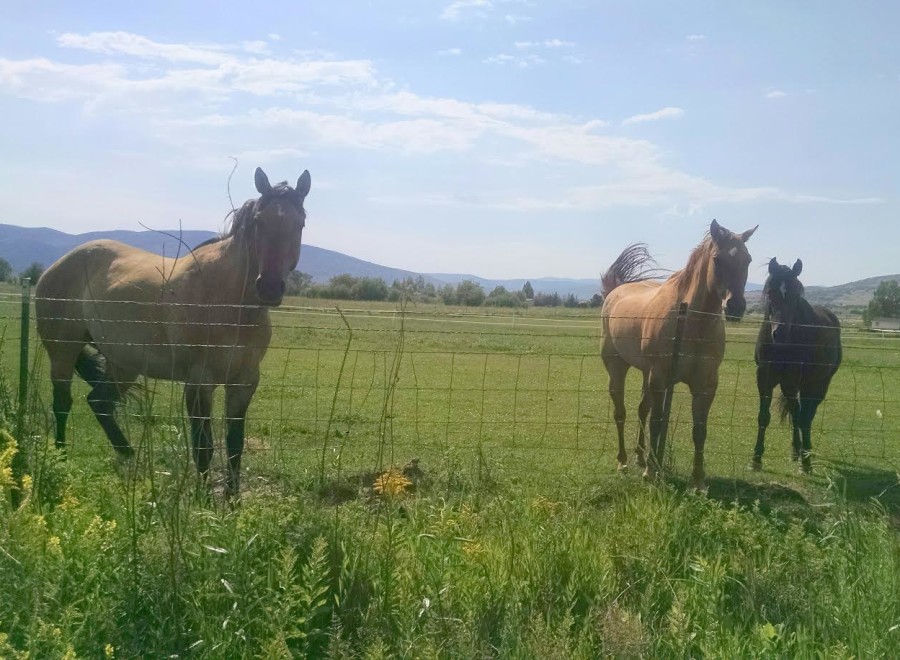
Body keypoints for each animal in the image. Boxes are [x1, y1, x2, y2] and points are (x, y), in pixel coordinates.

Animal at [35, 167, 311, 496]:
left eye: (299, 224)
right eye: (259, 222)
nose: (269, 287)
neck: (230, 304)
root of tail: (56, 266)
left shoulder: (244, 383)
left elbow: (235, 445)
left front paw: (233, 501)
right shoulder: (199, 383)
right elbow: (203, 447)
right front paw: (204, 501)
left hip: (124, 364)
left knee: (100, 403)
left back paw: (130, 458)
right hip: (62, 351)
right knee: (62, 405)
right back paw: (61, 460)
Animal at [600, 220, 757, 488]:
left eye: (747, 259)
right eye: (717, 260)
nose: (735, 307)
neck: (692, 325)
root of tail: (615, 292)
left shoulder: (706, 385)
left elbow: (699, 430)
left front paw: (698, 480)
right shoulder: (660, 378)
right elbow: (657, 422)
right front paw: (651, 472)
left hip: (646, 374)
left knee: (641, 410)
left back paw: (640, 456)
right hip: (618, 367)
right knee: (620, 412)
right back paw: (623, 461)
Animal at [751, 257, 841, 473]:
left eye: (795, 296)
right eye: (770, 293)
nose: (780, 333)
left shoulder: (793, 380)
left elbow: (802, 417)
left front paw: (806, 461)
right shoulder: (765, 378)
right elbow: (764, 416)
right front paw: (756, 458)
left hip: (817, 384)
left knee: (806, 416)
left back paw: (805, 456)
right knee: (797, 412)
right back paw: (796, 451)